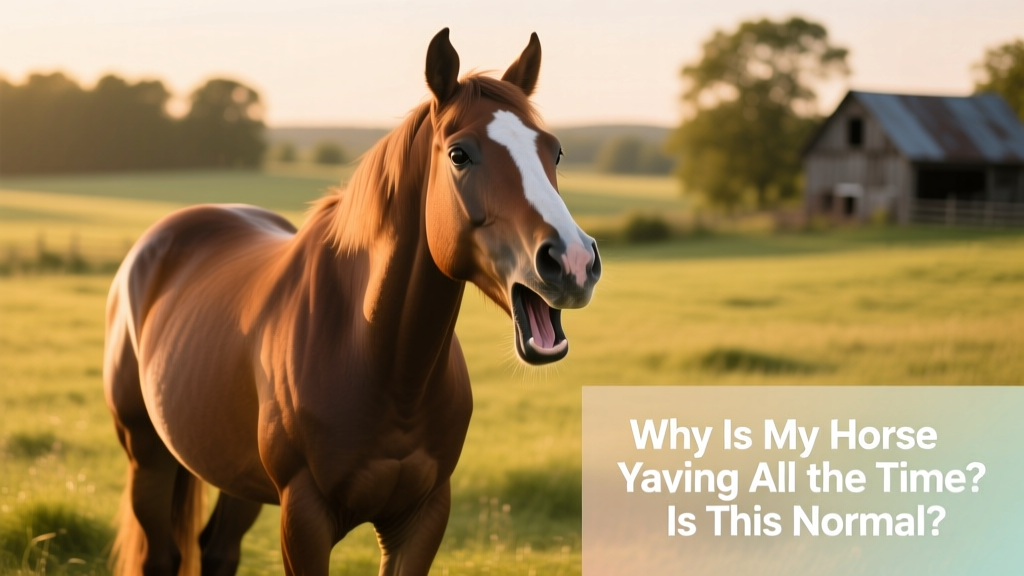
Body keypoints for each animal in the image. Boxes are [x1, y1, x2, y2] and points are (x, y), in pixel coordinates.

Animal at [102, 28, 601, 576]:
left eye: (554, 152)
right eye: (459, 155)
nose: (573, 260)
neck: (378, 360)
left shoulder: (422, 517)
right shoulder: (304, 518)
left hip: (237, 475)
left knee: (218, 551)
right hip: (145, 454)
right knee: (161, 555)